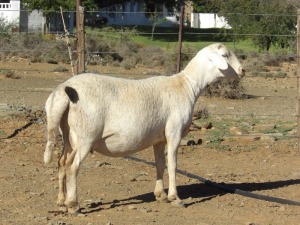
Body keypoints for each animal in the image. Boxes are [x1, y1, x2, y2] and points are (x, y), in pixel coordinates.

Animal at [45, 43, 246, 214]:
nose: (243, 70)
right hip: (85, 136)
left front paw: (160, 195)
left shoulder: (159, 138)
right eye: (225, 55)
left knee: (61, 163)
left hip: (68, 135)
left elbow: (160, 164)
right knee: (72, 166)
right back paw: (73, 205)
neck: (188, 85)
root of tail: (63, 90)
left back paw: (61, 201)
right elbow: (173, 164)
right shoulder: (174, 132)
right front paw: (175, 198)